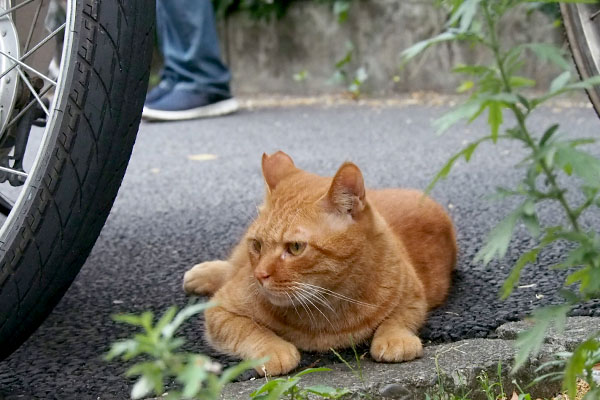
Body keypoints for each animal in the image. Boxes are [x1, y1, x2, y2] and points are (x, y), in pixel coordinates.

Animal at [183, 150, 454, 376]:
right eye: (257, 245)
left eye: (295, 247)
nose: (259, 275)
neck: (328, 306)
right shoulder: (220, 311)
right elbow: (250, 330)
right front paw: (274, 349)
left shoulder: (414, 299)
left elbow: (397, 320)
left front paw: (395, 338)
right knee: (231, 267)